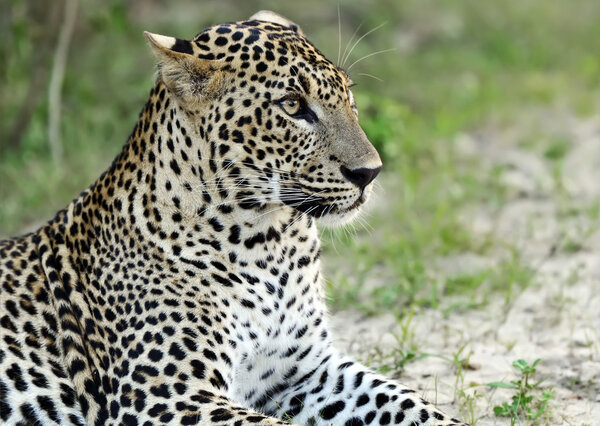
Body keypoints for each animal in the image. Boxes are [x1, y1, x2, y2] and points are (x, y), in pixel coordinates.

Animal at [0, 10, 466, 426]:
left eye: (347, 95)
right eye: (292, 105)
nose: (370, 172)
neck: (269, 242)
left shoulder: (304, 370)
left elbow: (405, 399)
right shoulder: (164, 395)